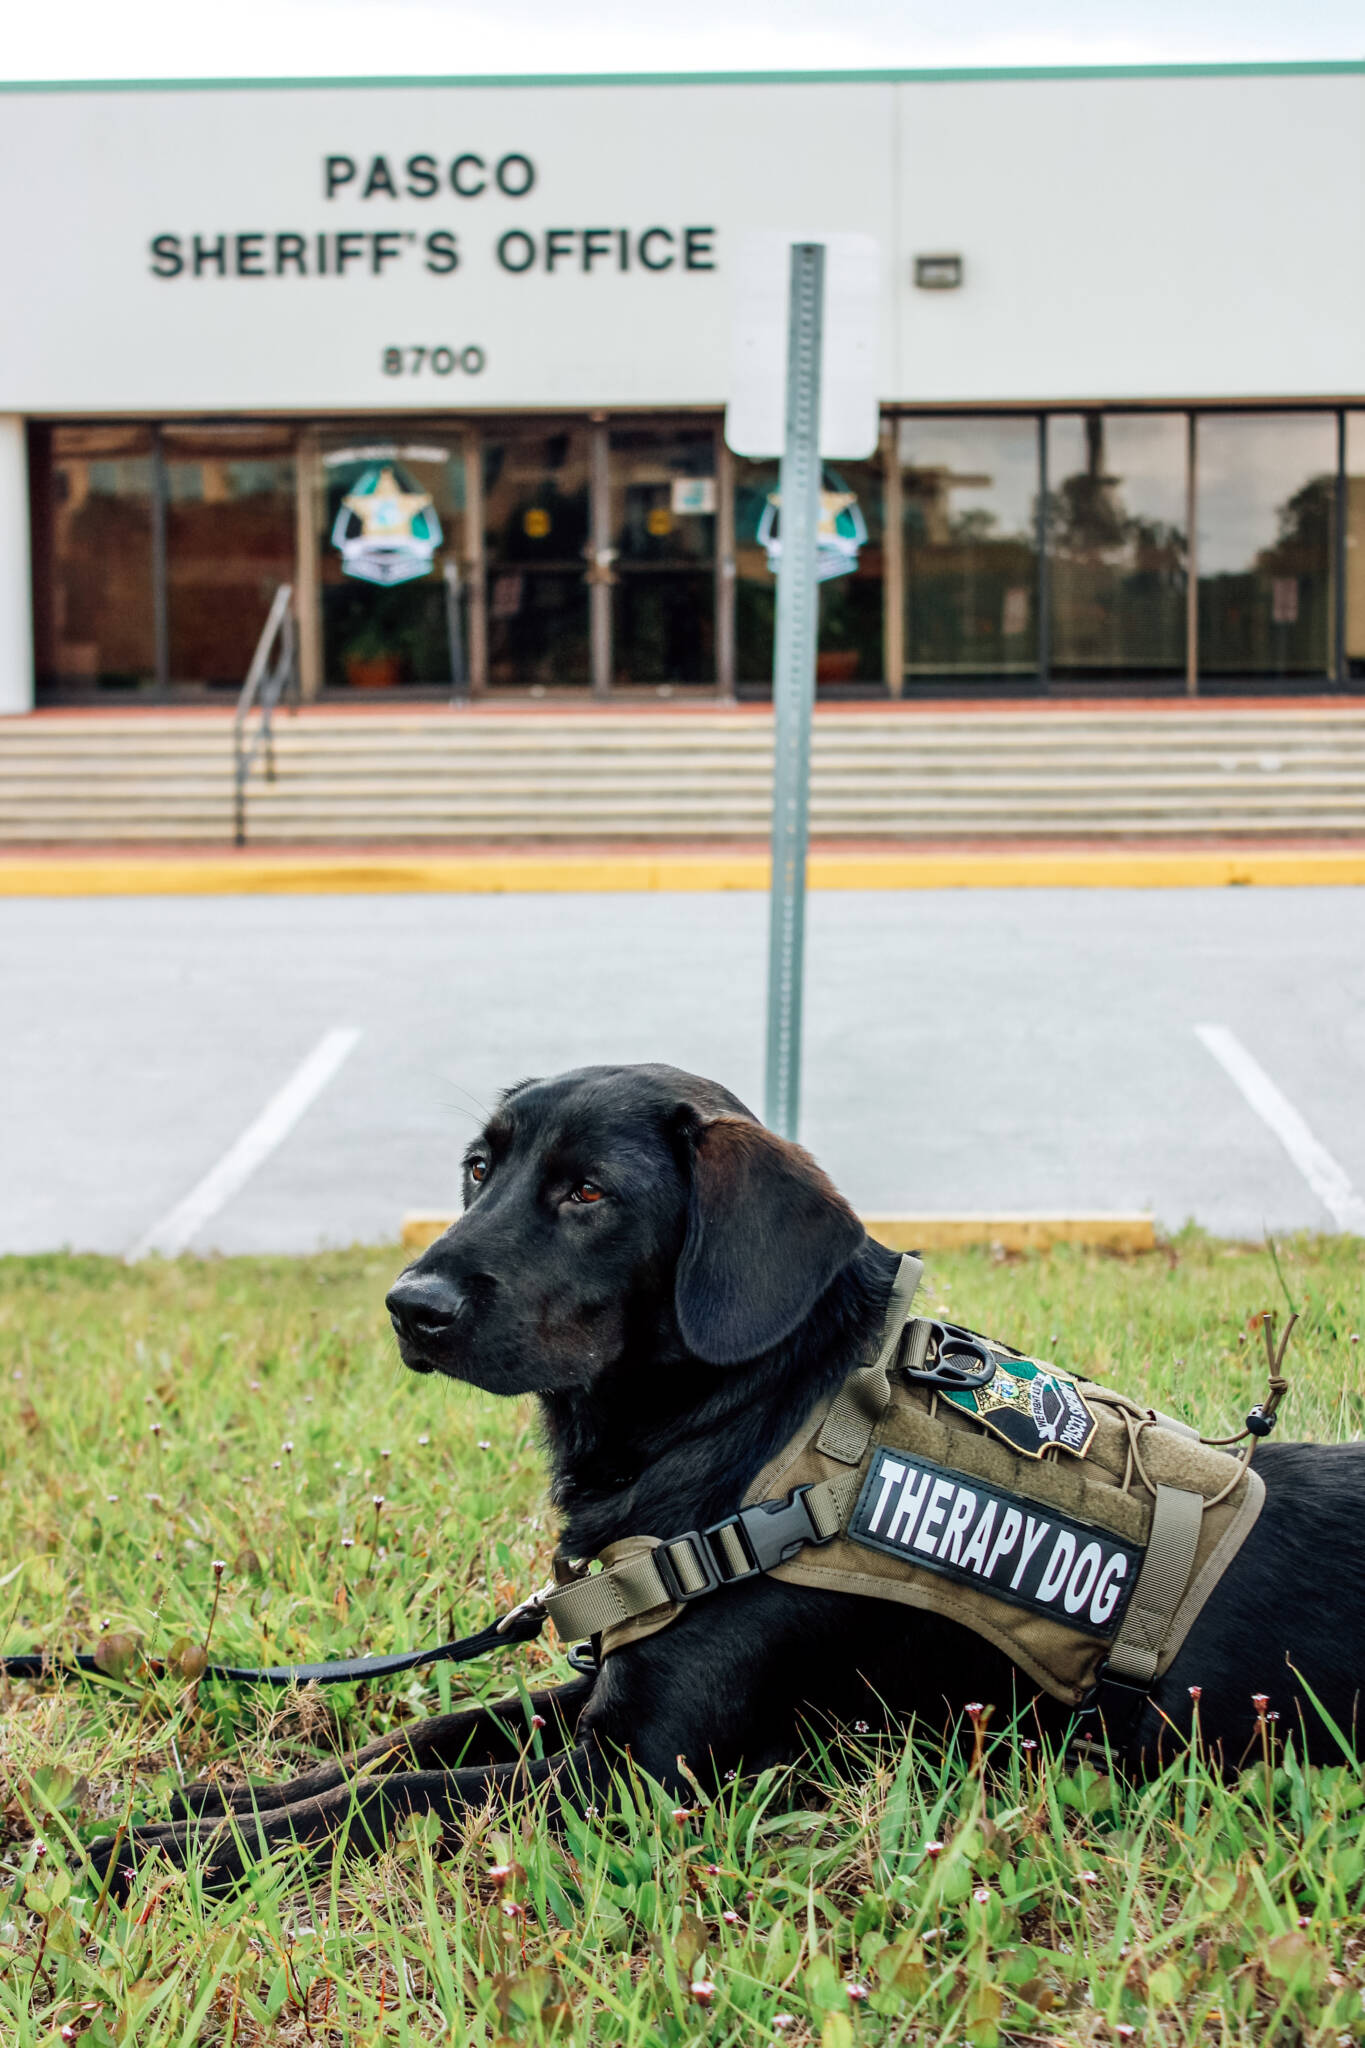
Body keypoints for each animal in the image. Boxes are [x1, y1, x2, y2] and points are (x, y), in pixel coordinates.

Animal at [101, 1073, 1365, 1884]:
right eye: (478, 1168)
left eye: (588, 1193)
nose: (409, 1306)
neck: (747, 1439)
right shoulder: (607, 1691)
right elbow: (415, 1737)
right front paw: (228, 1795)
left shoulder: (638, 1771)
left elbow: (401, 1793)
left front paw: (155, 1850)